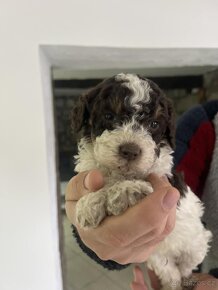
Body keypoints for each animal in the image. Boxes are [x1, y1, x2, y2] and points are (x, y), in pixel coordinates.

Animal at [71, 73, 211, 290]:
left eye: (154, 124)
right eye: (109, 116)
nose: (130, 150)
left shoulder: (165, 181)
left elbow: (144, 185)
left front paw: (123, 193)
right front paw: (89, 204)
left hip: (197, 243)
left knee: (187, 265)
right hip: (157, 257)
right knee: (170, 271)